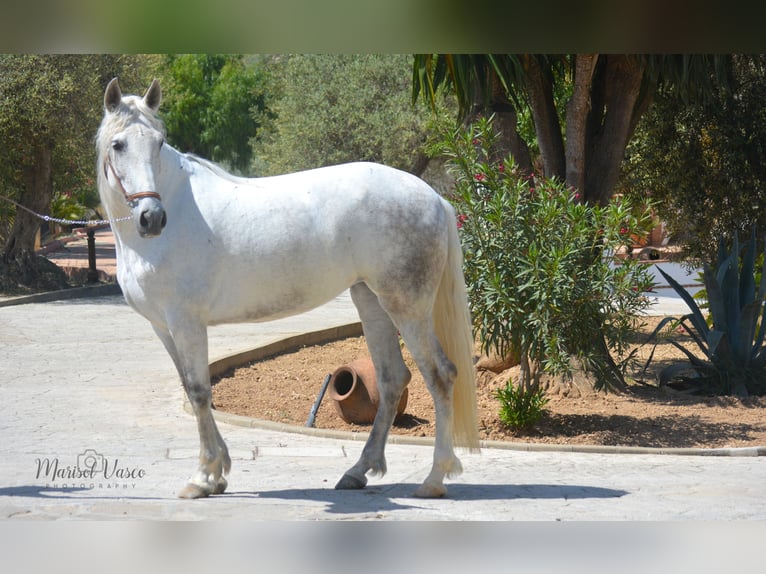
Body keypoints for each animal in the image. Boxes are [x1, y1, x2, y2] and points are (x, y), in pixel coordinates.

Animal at [96, 79, 480, 502]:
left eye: (159, 142)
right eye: (118, 145)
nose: (151, 218)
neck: (176, 211)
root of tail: (434, 196)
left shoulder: (186, 321)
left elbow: (198, 392)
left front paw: (203, 477)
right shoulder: (162, 326)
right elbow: (192, 388)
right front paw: (219, 472)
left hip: (407, 307)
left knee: (440, 375)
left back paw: (434, 479)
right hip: (371, 300)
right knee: (393, 378)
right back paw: (358, 471)